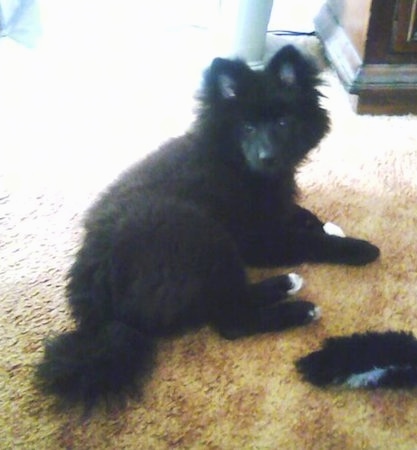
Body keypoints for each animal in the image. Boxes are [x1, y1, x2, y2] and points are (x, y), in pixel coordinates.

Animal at [35, 46, 378, 412]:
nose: (268, 157)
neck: (235, 163)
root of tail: (97, 305)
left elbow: (298, 214)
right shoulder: (255, 240)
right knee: (230, 319)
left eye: (284, 122)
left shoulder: (273, 210)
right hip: (205, 236)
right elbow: (307, 242)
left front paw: (324, 224)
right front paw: (358, 247)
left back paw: (286, 286)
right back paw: (297, 303)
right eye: (247, 127)